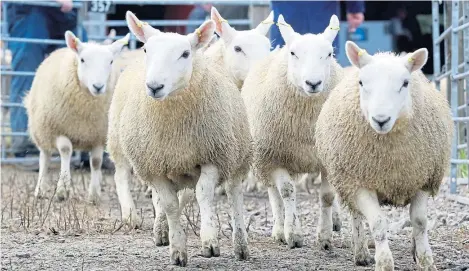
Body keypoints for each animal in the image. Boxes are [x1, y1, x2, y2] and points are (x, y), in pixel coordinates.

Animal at [24, 30, 129, 203]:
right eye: (82, 59)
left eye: (111, 61)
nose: (98, 86)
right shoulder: (58, 129)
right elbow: (66, 151)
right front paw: (62, 190)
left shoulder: (98, 135)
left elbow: (96, 162)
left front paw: (94, 194)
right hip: (43, 129)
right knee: (45, 158)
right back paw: (40, 189)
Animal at [107, 11, 250, 266]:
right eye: (146, 50)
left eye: (185, 53)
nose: (155, 86)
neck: (174, 130)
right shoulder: (154, 166)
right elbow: (170, 205)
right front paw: (177, 249)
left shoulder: (212, 157)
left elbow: (204, 194)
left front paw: (209, 241)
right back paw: (160, 230)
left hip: (236, 156)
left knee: (234, 196)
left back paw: (241, 245)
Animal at [241, 13, 344, 250]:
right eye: (293, 53)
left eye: (329, 53)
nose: (313, 83)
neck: (306, 126)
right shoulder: (275, 156)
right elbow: (287, 192)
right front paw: (293, 234)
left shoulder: (326, 158)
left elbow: (327, 196)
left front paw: (325, 237)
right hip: (264, 158)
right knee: (275, 194)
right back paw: (279, 229)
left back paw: (336, 221)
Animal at [312, 41, 452, 271]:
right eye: (362, 82)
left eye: (405, 83)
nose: (380, 120)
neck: (390, 158)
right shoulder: (359, 183)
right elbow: (377, 223)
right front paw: (384, 262)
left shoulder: (423, 178)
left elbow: (420, 221)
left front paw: (425, 260)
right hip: (346, 177)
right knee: (357, 216)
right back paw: (361, 253)